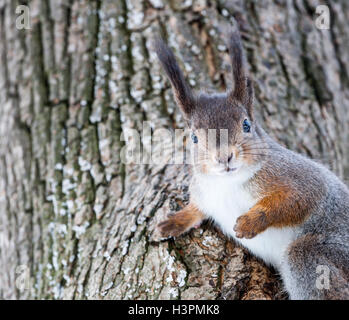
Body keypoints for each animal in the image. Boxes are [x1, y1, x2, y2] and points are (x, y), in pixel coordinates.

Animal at [154, 30, 348, 300]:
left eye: (246, 125)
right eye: (193, 137)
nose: (224, 157)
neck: (228, 183)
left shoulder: (298, 176)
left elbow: (298, 198)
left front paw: (250, 222)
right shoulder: (204, 193)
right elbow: (197, 209)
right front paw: (173, 222)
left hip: (323, 253)